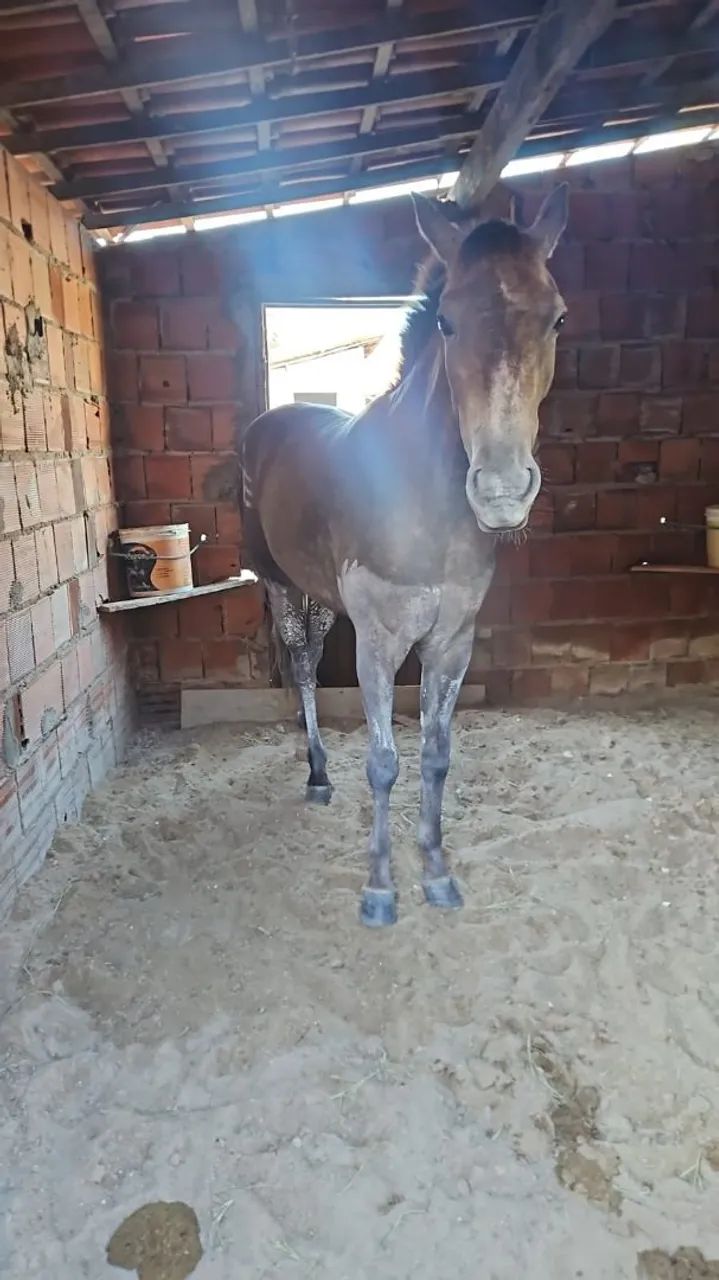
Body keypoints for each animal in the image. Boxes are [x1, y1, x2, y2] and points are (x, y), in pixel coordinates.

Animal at [240, 184, 569, 927]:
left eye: (557, 318)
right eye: (446, 322)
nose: (501, 490)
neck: (421, 496)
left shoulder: (451, 643)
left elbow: (436, 757)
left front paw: (438, 875)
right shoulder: (380, 643)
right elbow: (384, 761)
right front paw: (380, 890)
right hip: (279, 585)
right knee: (302, 666)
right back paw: (316, 774)